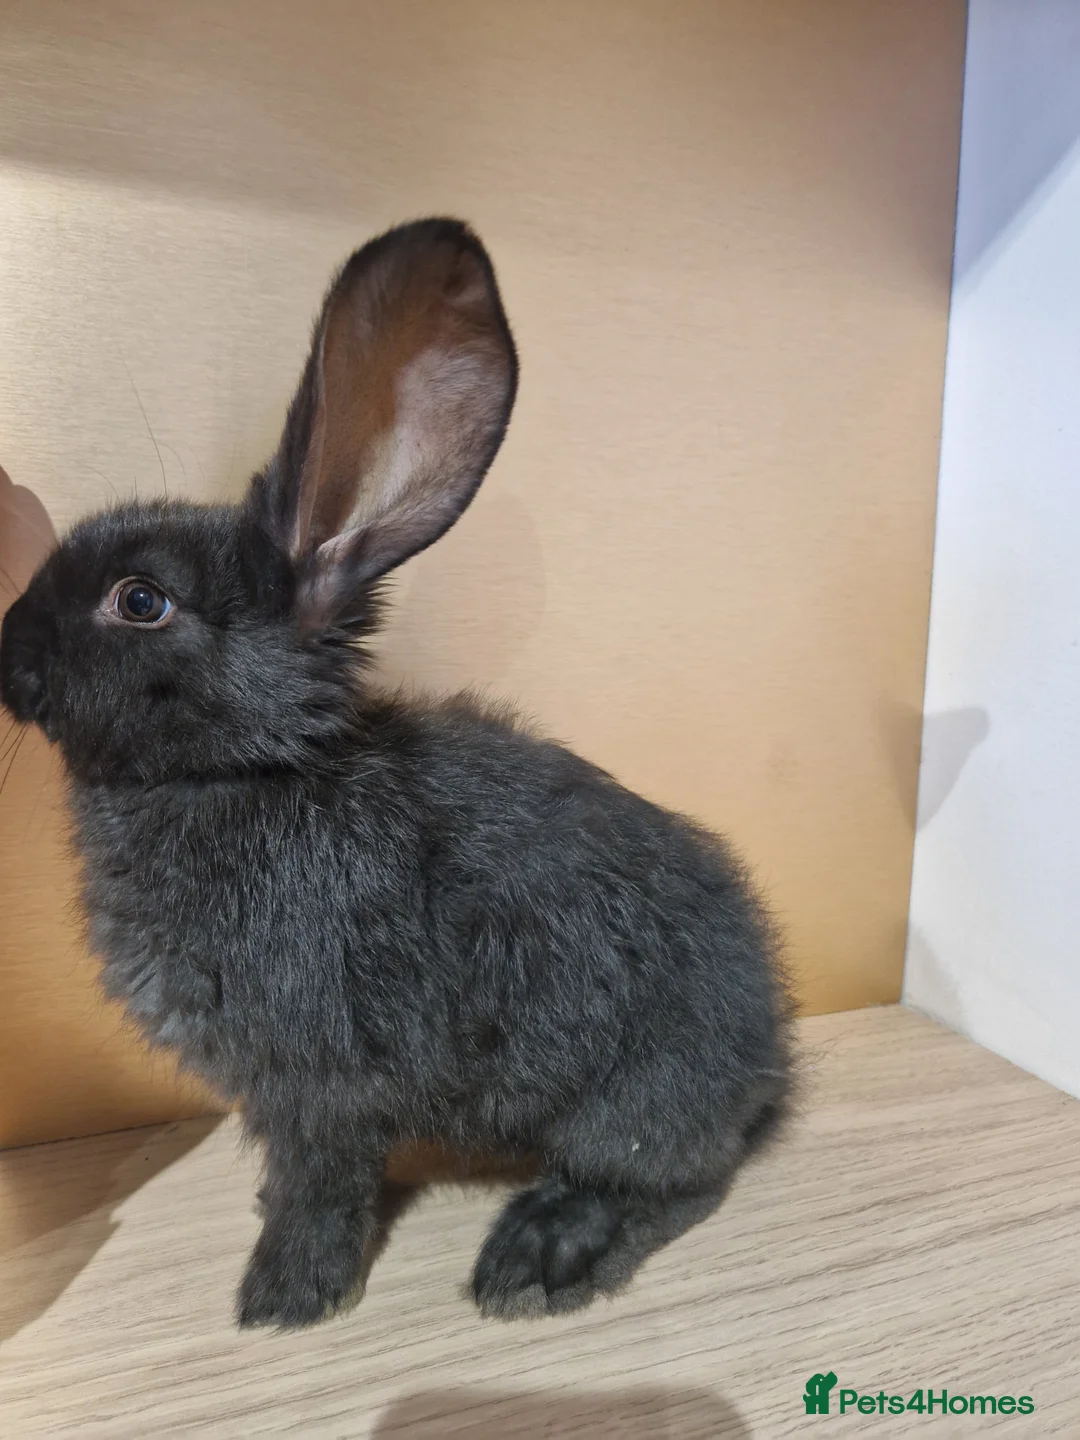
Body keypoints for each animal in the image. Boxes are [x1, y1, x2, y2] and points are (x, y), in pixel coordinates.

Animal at [0, 218, 793, 1329]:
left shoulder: (321, 1081)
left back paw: (537, 1259)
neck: (244, 769)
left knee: (674, 1179)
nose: (4, 648)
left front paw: (284, 1297)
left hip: (633, 1098)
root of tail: (771, 1053)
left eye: (141, 600)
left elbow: (320, 1184)